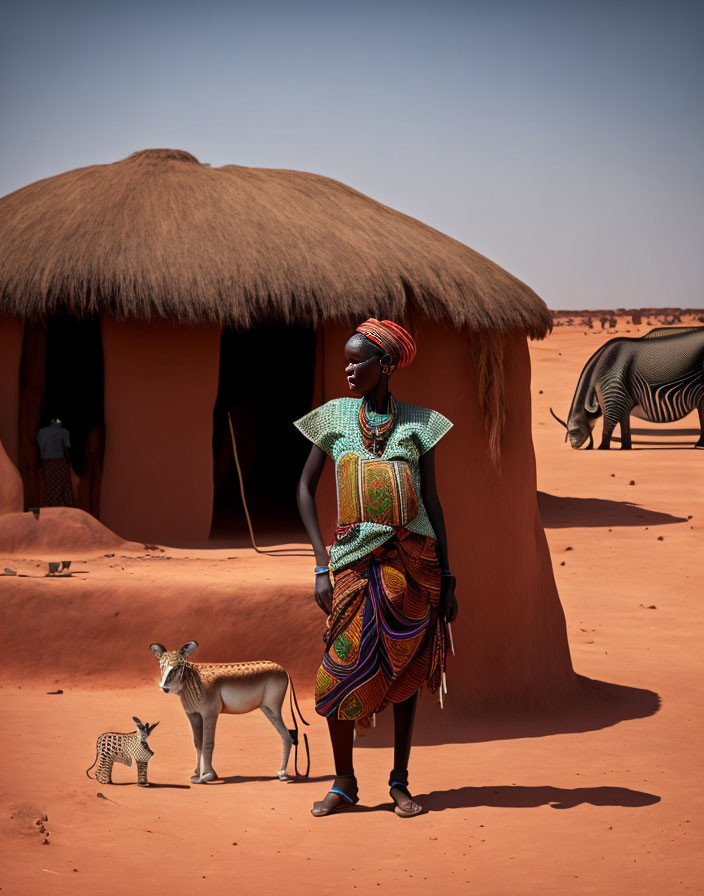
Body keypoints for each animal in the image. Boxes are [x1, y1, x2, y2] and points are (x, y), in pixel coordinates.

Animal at [552, 326, 704, 448]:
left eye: (573, 432)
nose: (573, 446)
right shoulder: (622, 405)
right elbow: (624, 431)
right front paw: (625, 448)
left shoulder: (613, 401)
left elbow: (607, 429)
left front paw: (602, 448)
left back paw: (699, 445)